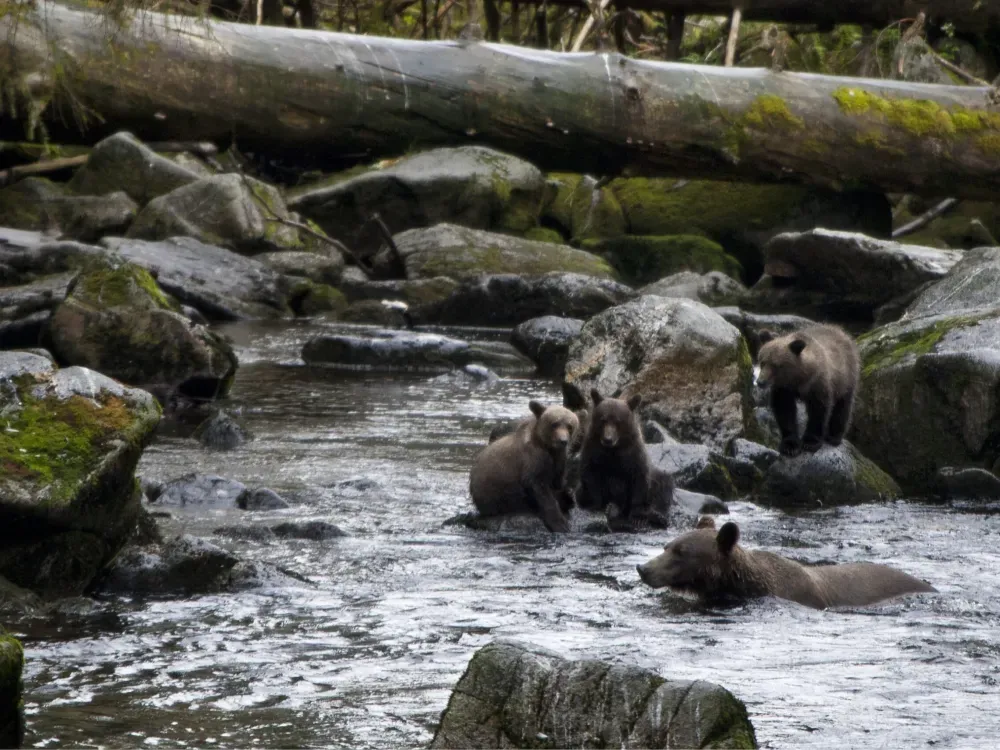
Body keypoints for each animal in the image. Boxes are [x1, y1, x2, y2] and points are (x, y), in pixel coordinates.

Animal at [469, 400, 580, 532]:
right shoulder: (533, 459)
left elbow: (558, 482)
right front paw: (560, 523)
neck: (548, 448)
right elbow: (538, 487)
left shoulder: (560, 460)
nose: (563, 440)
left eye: (569, 426)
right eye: (554, 424)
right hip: (496, 493)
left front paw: (568, 496)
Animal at [576, 389, 672, 530]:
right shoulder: (593, 450)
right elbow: (591, 475)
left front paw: (638, 517)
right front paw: (596, 505)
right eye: (603, 419)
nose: (608, 439)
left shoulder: (633, 454)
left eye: (618, 421)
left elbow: (639, 479)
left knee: (664, 485)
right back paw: (611, 508)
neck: (614, 449)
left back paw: (657, 515)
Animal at [755, 324, 860, 457]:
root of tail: (841, 331)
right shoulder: (783, 389)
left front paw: (810, 442)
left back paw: (834, 437)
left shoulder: (818, 385)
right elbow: (785, 411)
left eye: (776, 365)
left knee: (843, 406)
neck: (799, 378)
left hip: (846, 378)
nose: (760, 382)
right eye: (762, 362)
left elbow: (818, 411)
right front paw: (790, 445)